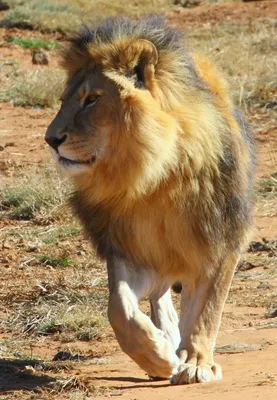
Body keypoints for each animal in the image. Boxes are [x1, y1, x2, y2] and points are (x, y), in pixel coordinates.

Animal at [45, 18, 254, 384]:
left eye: (92, 99)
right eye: (64, 100)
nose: (50, 139)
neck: (150, 177)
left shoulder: (222, 239)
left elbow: (207, 310)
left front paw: (195, 362)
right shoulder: (129, 248)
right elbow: (119, 308)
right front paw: (157, 356)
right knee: (158, 296)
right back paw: (167, 338)